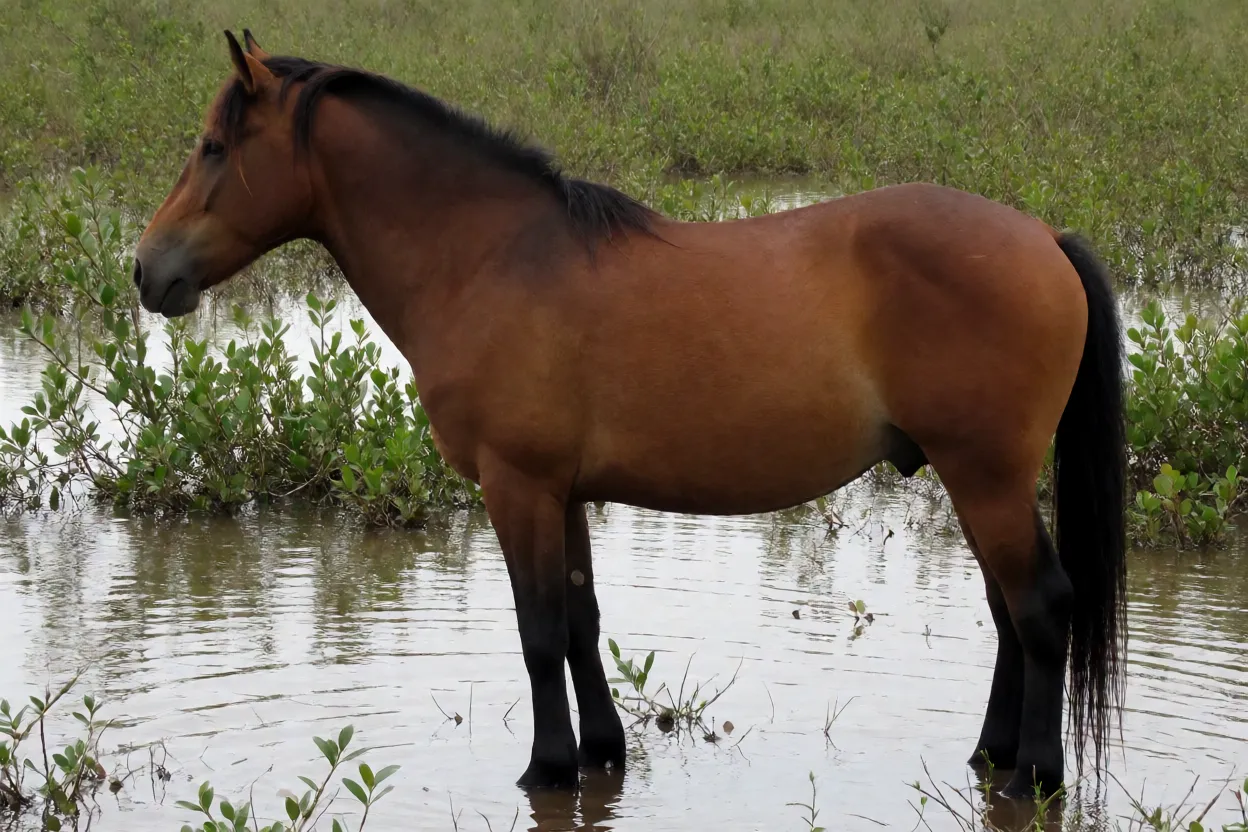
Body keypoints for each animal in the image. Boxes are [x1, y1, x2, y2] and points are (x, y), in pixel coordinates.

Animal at [133, 31, 1127, 799]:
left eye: (214, 146)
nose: (147, 270)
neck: (490, 257)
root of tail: (1042, 237)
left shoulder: (517, 486)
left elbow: (538, 633)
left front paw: (545, 768)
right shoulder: (564, 492)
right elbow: (580, 619)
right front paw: (602, 754)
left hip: (985, 475)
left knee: (1041, 606)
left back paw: (1033, 776)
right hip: (977, 480)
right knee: (1009, 612)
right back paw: (990, 755)